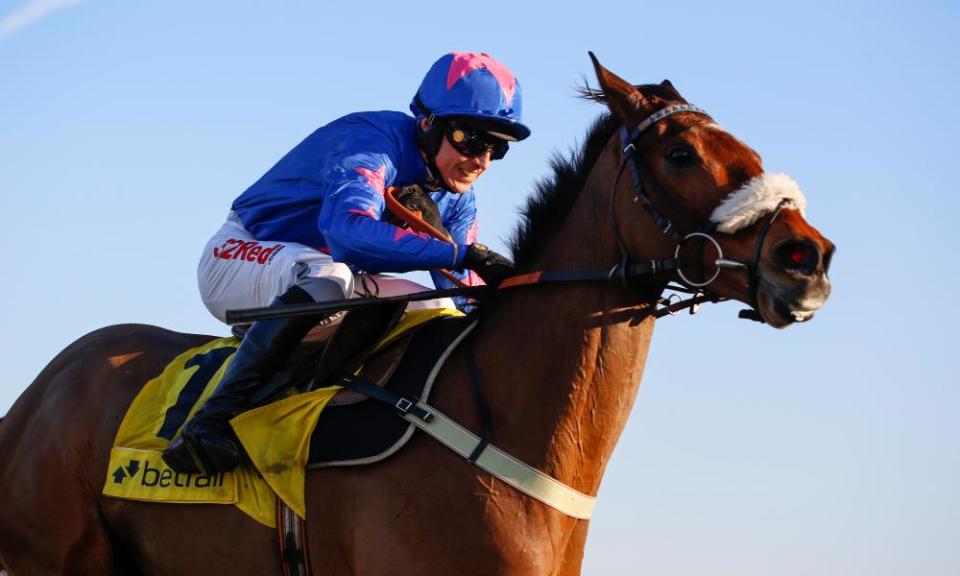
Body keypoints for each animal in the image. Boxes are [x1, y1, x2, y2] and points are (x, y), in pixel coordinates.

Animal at [0, 55, 832, 576]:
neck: (503, 425)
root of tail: (41, 391)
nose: (808, 257)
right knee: (325, 273)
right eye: (683, 154)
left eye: (749, 149)